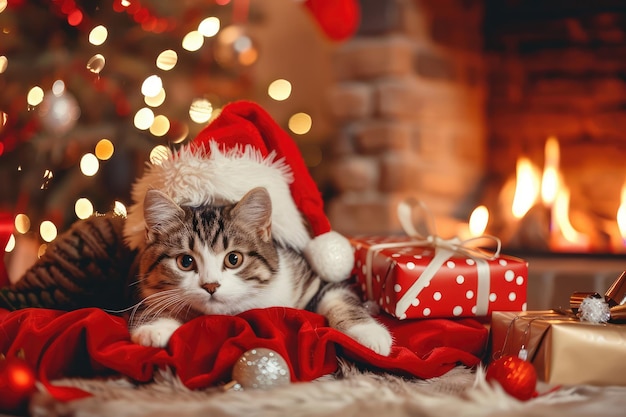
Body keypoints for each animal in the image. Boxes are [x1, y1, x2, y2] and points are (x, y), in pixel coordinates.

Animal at [127, 187, 392, 356]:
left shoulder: (316, 280)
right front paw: (154, 327)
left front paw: (369, 333)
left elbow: (341, 298)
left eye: (234, 259)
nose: (211, 285)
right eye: (185, 261)